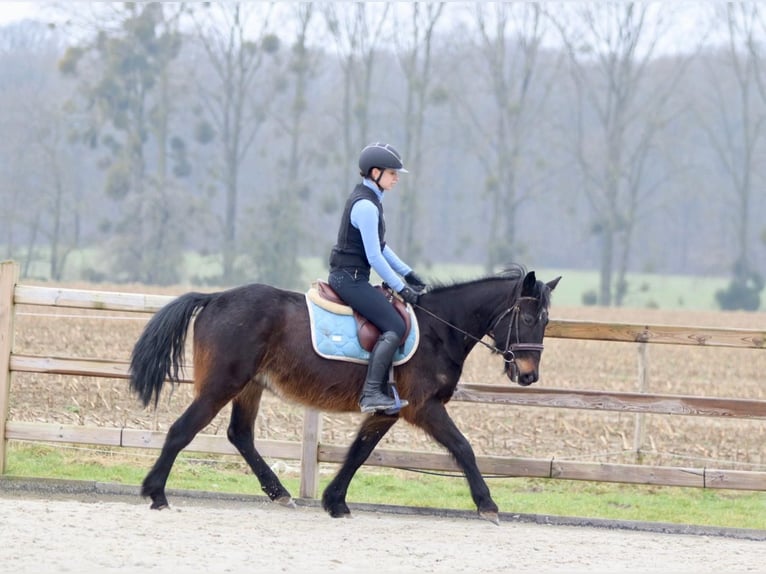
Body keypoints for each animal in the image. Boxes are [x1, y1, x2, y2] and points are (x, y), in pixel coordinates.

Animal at [130, 266, 564, 528]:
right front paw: (487, 504)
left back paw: (280, 493)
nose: (529, 375)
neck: (440, 330)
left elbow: (359, 451)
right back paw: (156, 492)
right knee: (182, 430)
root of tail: (214, 298)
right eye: (529, 318)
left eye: (545, 322)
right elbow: (463, 448)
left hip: (250, 386)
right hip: (223, 383)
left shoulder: (387, 410)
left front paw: (335, 501)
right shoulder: (424, 407)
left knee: (241, 435)